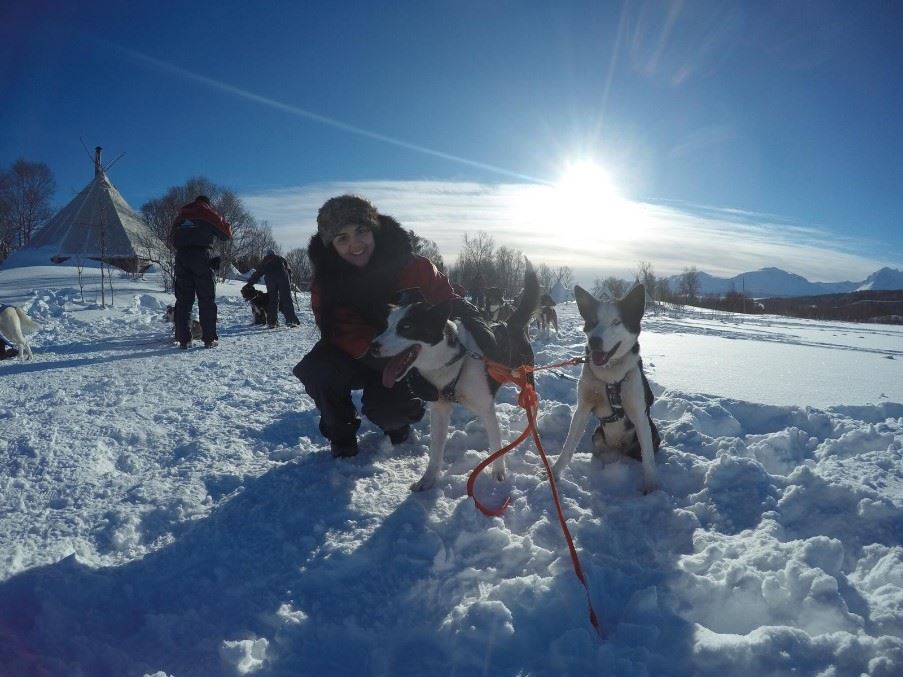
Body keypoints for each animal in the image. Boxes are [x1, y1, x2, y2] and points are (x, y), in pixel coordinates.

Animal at [370, 260, 540, 492]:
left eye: (406, 326)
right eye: (386, 326)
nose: (373, 346)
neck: (454, 361)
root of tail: (510, 323)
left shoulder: (485, 406)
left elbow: (496, 442)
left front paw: (498, 472)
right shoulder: (439, 409)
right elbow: (436, 448)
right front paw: (428, 479)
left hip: (525, 380)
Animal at [548, 284, 660, 492]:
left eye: (616, 322)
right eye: (593, 321)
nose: (594, 341)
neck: (610, 376)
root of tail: (617, 448)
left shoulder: (639, 415)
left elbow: (648, 458)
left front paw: (651, 487)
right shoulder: (583, 408)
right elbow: (568, 445)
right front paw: (555, 472)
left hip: (652, 431)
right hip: (597, 434)